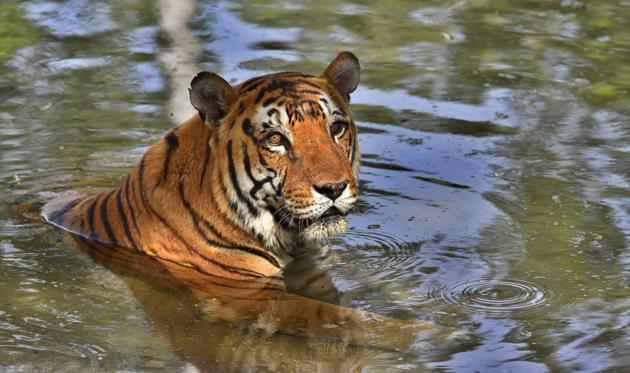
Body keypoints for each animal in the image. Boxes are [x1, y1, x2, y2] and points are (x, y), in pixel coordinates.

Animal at [42, 53, 464, 352]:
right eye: (275, 139)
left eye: (336, 128)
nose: (334, 187)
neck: (286, 238)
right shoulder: (248, 297)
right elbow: (336, 316)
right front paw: (432, 334)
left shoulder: (311, 266)